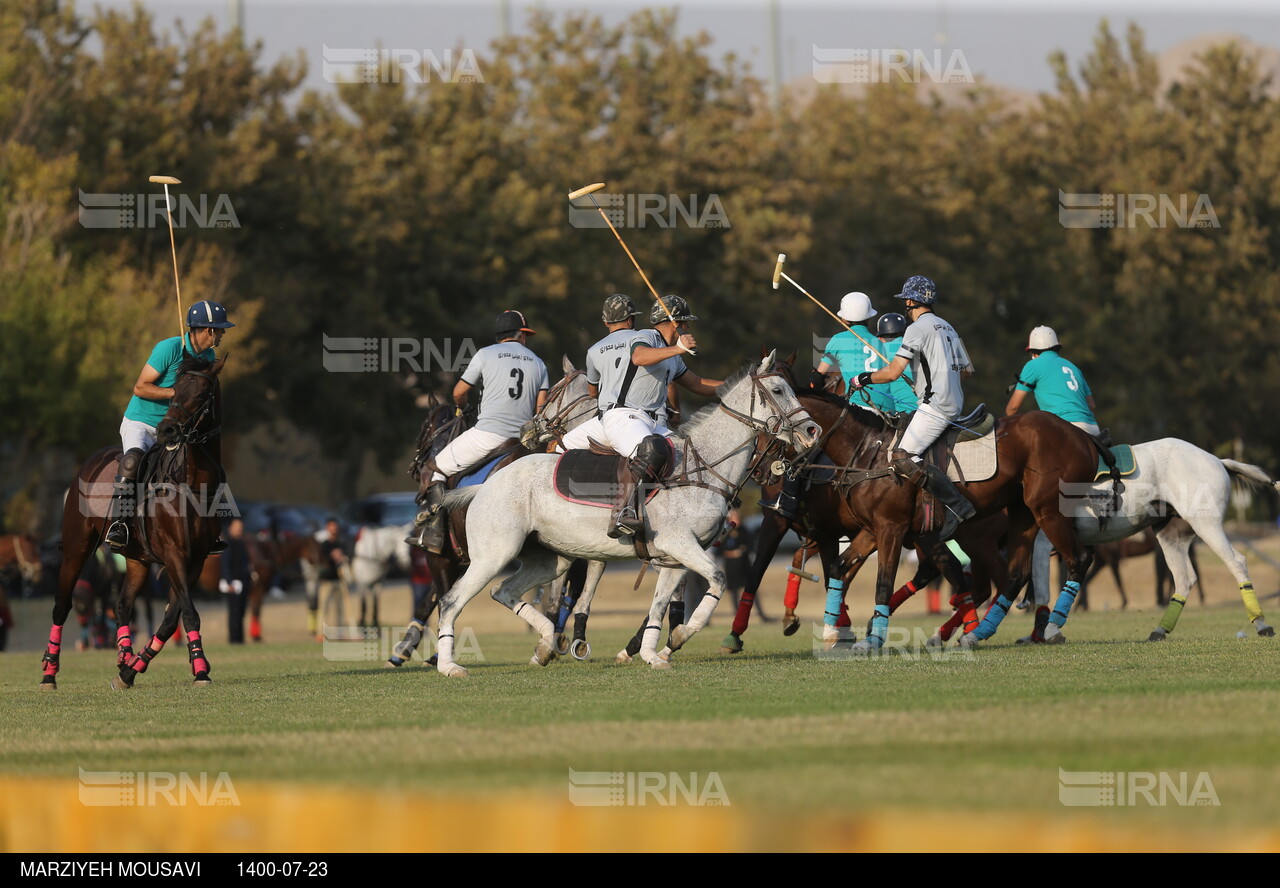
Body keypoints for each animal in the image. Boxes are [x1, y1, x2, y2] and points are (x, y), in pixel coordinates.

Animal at [41, 355, 227, 690]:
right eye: (175, 388)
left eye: (202, 393)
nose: (167, 430)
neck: (193, 481)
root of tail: (91, 460)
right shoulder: (174, 553)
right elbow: (189, 614)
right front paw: (201, 670)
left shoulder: (196, 559)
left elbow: (171, 619)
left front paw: (132, 670)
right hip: (76, 547)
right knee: (62, 604)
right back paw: (49, 673)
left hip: (136, 558)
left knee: (122, 605)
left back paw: (124, 658)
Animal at [435, 350, 819, 680]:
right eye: (777, 390)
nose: (812, 431)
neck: (704, 466)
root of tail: (484, 486)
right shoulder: (681, 544)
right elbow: (719, 580)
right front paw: (678, 637)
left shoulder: (674, 559)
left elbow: (659, 606)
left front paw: (654, 652)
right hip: (495, 553)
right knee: (452, 600)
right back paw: (449, 666)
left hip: (548, 559)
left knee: (504, 591)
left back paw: (546, 644)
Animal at [1034, 442, 1274, 642]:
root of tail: (1217, 460)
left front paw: (1049, 630)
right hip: (1171, 535)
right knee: (1184, 578)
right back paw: (1160, 629)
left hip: (1206, 524)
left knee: (1236, 561)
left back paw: (1261, 624)